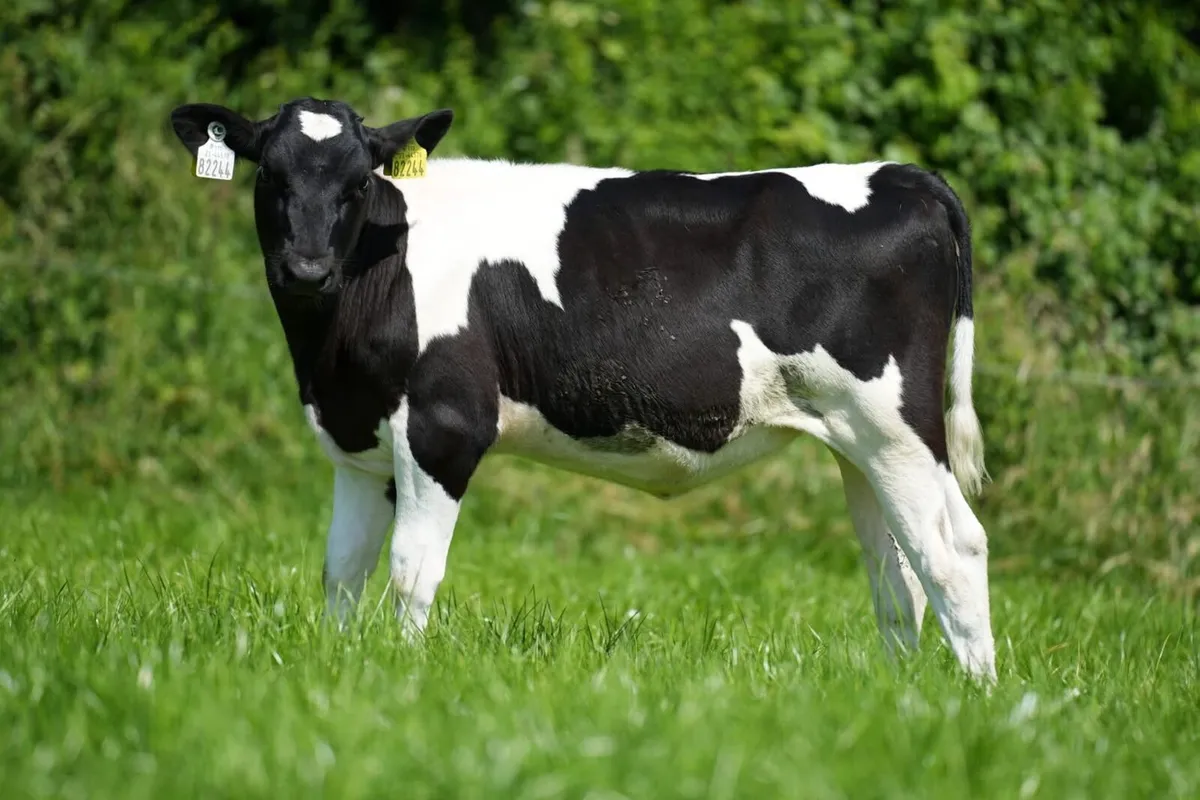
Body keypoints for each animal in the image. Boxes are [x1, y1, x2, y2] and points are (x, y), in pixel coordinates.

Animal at [170, 97, 996, 682]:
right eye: (271, 176)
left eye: (354, 184)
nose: (307, 269)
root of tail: (900, 175)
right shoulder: (359, 440)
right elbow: (342, 570)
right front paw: (340, 670)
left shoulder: (443, 425)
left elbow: (410, 571)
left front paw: (400, 676)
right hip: (858, 442)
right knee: (897, 569)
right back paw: (901, 693)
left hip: (895, 425)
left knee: (953, 549)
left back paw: (977, 698)